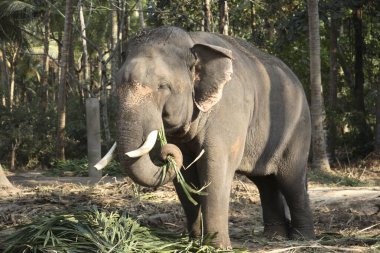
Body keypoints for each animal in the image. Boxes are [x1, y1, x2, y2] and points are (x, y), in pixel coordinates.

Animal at [98, 26, 314, 249]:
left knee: (291, 180)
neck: (191, 41)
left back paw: (302, 237)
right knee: (265, 182)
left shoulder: (228, 111)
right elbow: (185, 175)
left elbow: (215, 169)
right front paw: (195, 242)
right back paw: (274, 236)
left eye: (163, 86)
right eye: (117, 86)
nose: (165, 154)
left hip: (299, 129)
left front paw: (217, 247)